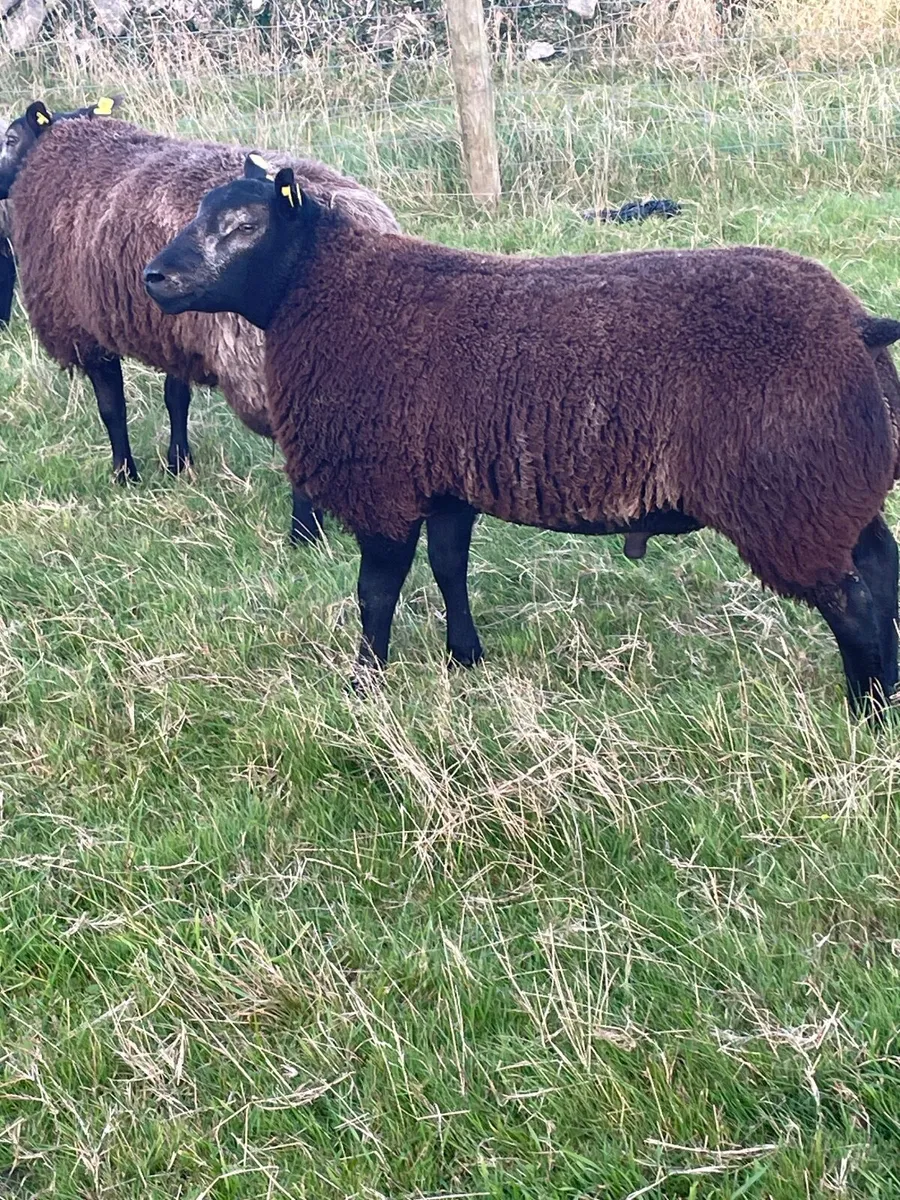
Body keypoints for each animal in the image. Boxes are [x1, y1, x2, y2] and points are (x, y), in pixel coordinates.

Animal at [0, 101, 399, 542]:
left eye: (10, 138)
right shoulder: (177, 332)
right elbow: (176, 398)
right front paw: (178, 464)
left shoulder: (88, 327)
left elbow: (112, 407)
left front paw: (125, 475)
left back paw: (304, 534)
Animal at [144, 161, 900, 716]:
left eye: (244, 226)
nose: (154, 276)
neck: (326, 291)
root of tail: (858, 324)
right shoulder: (446, 482)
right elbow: (449, 567)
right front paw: (465, 659)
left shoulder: (386, 484)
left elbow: (375, 593)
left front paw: (364, 688)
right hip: (840, 486)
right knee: (883, 572)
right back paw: (889, 692)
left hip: (790, 498)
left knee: (855, 603)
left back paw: (867, 713)